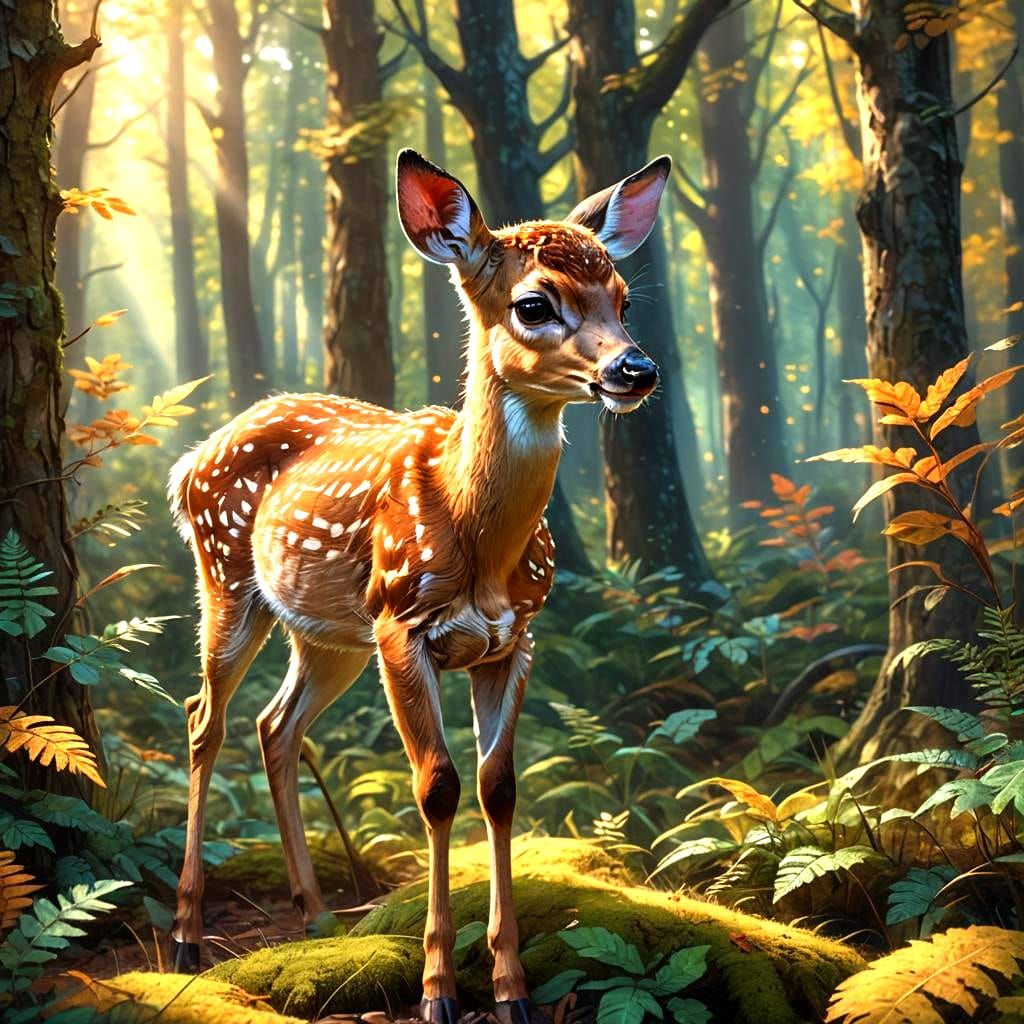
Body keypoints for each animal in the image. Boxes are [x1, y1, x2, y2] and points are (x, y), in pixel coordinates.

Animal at [168, 148, 670, 1023]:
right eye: (535, 303)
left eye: (625, 298)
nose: (633, 369)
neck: (479, 545)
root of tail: (191, 457)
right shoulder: (403, 628)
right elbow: (436, 786)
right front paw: (438, 987)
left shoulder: (516, 638)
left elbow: (500, 786)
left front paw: (511, 988)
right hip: (228, 578)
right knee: (205, 720)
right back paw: (189, 935)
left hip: (329, 632)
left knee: (276, 725)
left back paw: (318, 916)